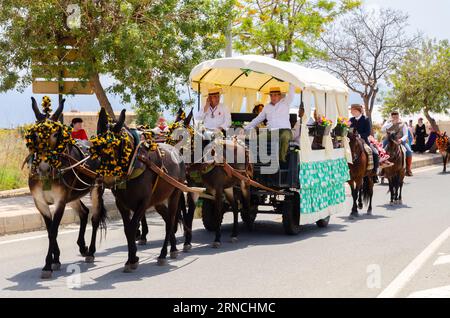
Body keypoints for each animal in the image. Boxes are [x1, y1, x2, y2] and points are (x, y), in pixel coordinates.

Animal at [26, 97, 106, 278]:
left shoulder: (61, 201)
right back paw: (82, 247)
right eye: (35, 135)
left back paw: (90, 252)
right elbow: (49, 230)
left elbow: (54, 231)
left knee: (95, 218)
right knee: (84, 213)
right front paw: (56, 259)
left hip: (95, 190)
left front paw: (47, 265)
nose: (43, 168)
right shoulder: (40, 202)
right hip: (73, 195)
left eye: (56, 134)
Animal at [93, 107, 188, 270]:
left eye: (116, 146)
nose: (107, 179)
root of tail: (176, 150)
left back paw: (163, 254)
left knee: (171, 221)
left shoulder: (143, 202)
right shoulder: (121, 203)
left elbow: (132, 227)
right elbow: (127, 229)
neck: (133, 163)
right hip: (158, 201)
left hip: (175, 193)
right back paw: (174, 248)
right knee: (168, 219)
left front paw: (132, 259)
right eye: (97, 147)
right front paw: (132, 257)